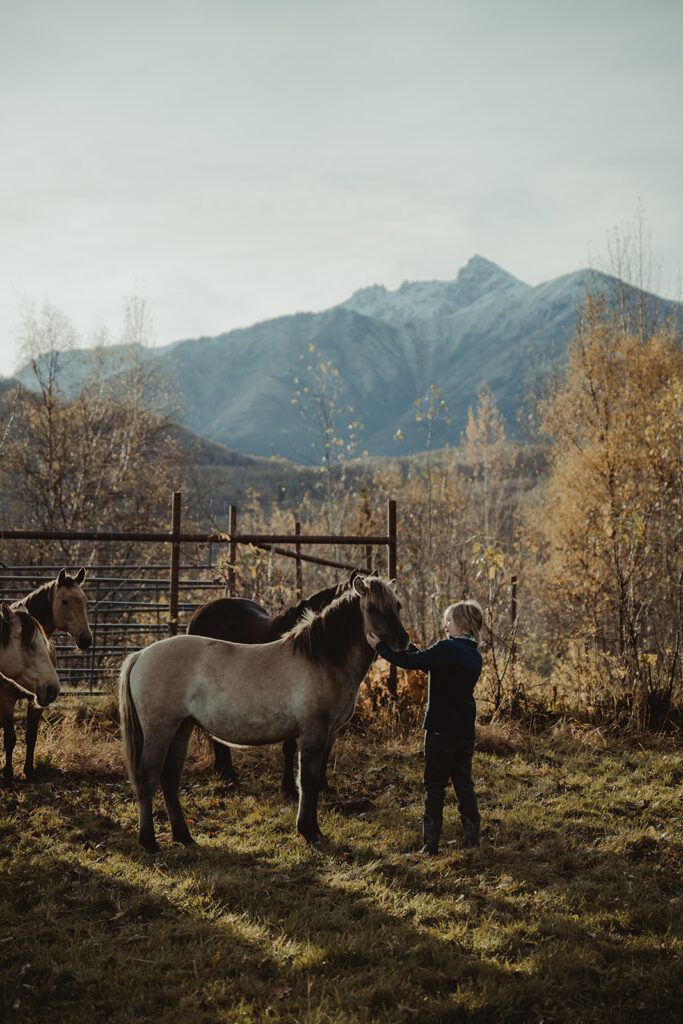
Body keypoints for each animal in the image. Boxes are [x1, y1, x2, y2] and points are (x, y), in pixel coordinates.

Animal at [184, 573, 366, 794]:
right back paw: (227, 773)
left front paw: (322, 786)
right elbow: (289, 748)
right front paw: (288, 788)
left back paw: (224, 771)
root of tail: (201, 611)